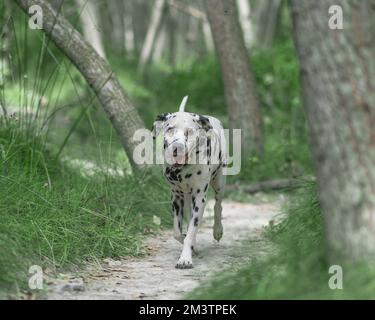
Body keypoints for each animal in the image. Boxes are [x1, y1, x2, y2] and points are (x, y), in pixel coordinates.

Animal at [152, 96, 228, 268]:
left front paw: (185, 258)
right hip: (187, 198)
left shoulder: (199, 198)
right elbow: (178, 233)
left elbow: (191, 231)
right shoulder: (176, 198)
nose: (177, 147)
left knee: (218, 205)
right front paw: (192, 246)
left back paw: (217, 230)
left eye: (190, 131)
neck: (183, 170)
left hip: (219, 183)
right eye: (170, 129)